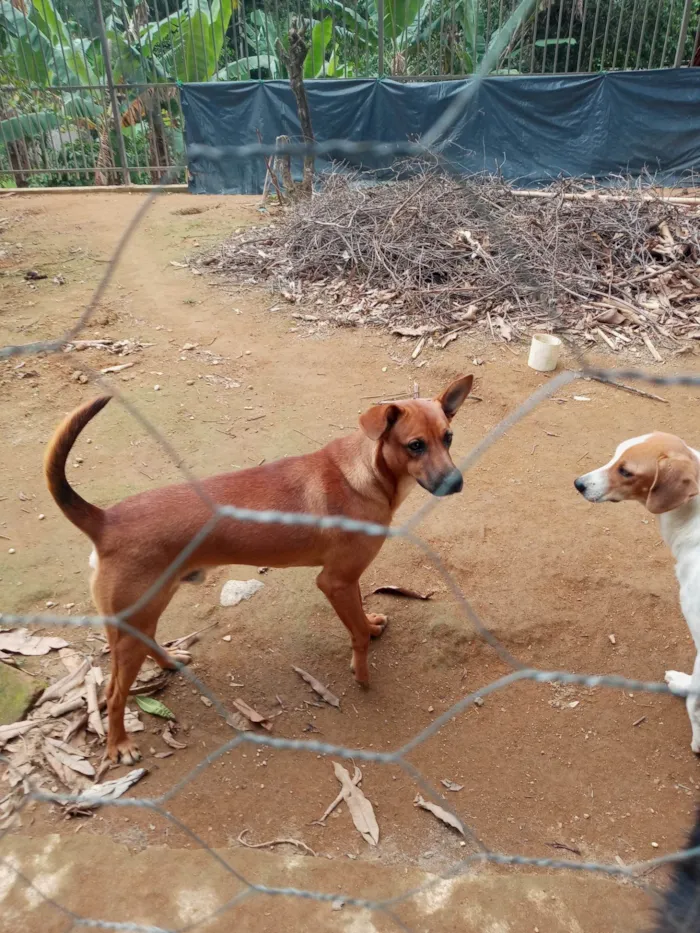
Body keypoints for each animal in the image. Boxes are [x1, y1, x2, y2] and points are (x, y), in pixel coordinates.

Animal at [43, 374, 474, 760]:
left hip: (147, 610)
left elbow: (360, 620)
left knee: (146, 644)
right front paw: (362, 673)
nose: (456, 482)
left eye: (448, 437)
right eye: (415, 445)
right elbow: (357, 638)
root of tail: (105, 520)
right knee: (114, 693)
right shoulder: (335, 581)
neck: (367, 473)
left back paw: (170, 661)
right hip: (132, 622)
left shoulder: (348, 581)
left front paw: (369, 625)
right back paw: (119, 744)